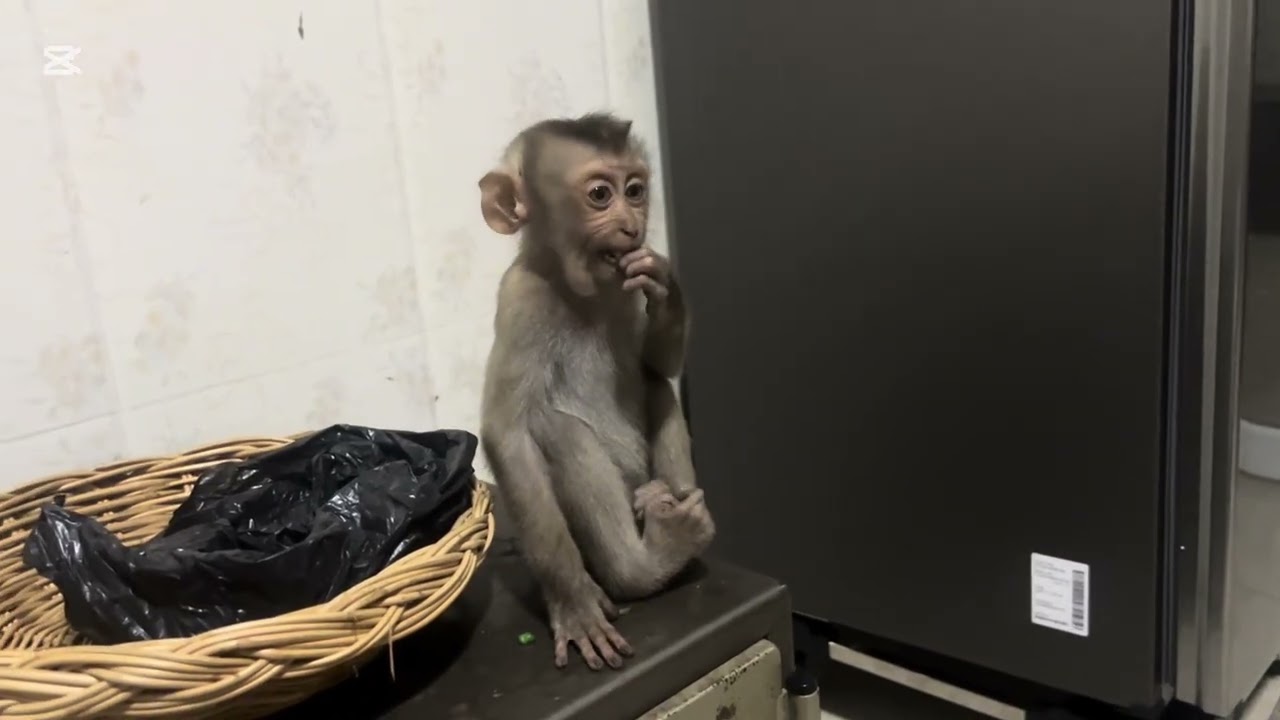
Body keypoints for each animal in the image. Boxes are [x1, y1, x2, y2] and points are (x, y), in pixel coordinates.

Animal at [478, 113, 714, 672]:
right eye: (601, 195)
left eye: (636, 190)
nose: (632, 226)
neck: (578, 290)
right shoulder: (521, 301)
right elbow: (506, 433)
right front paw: (574, 601)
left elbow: (657, 365)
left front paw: (664, 285)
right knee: (556, 428)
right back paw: (644, 564)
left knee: (656, 388)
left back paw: (663, 503)